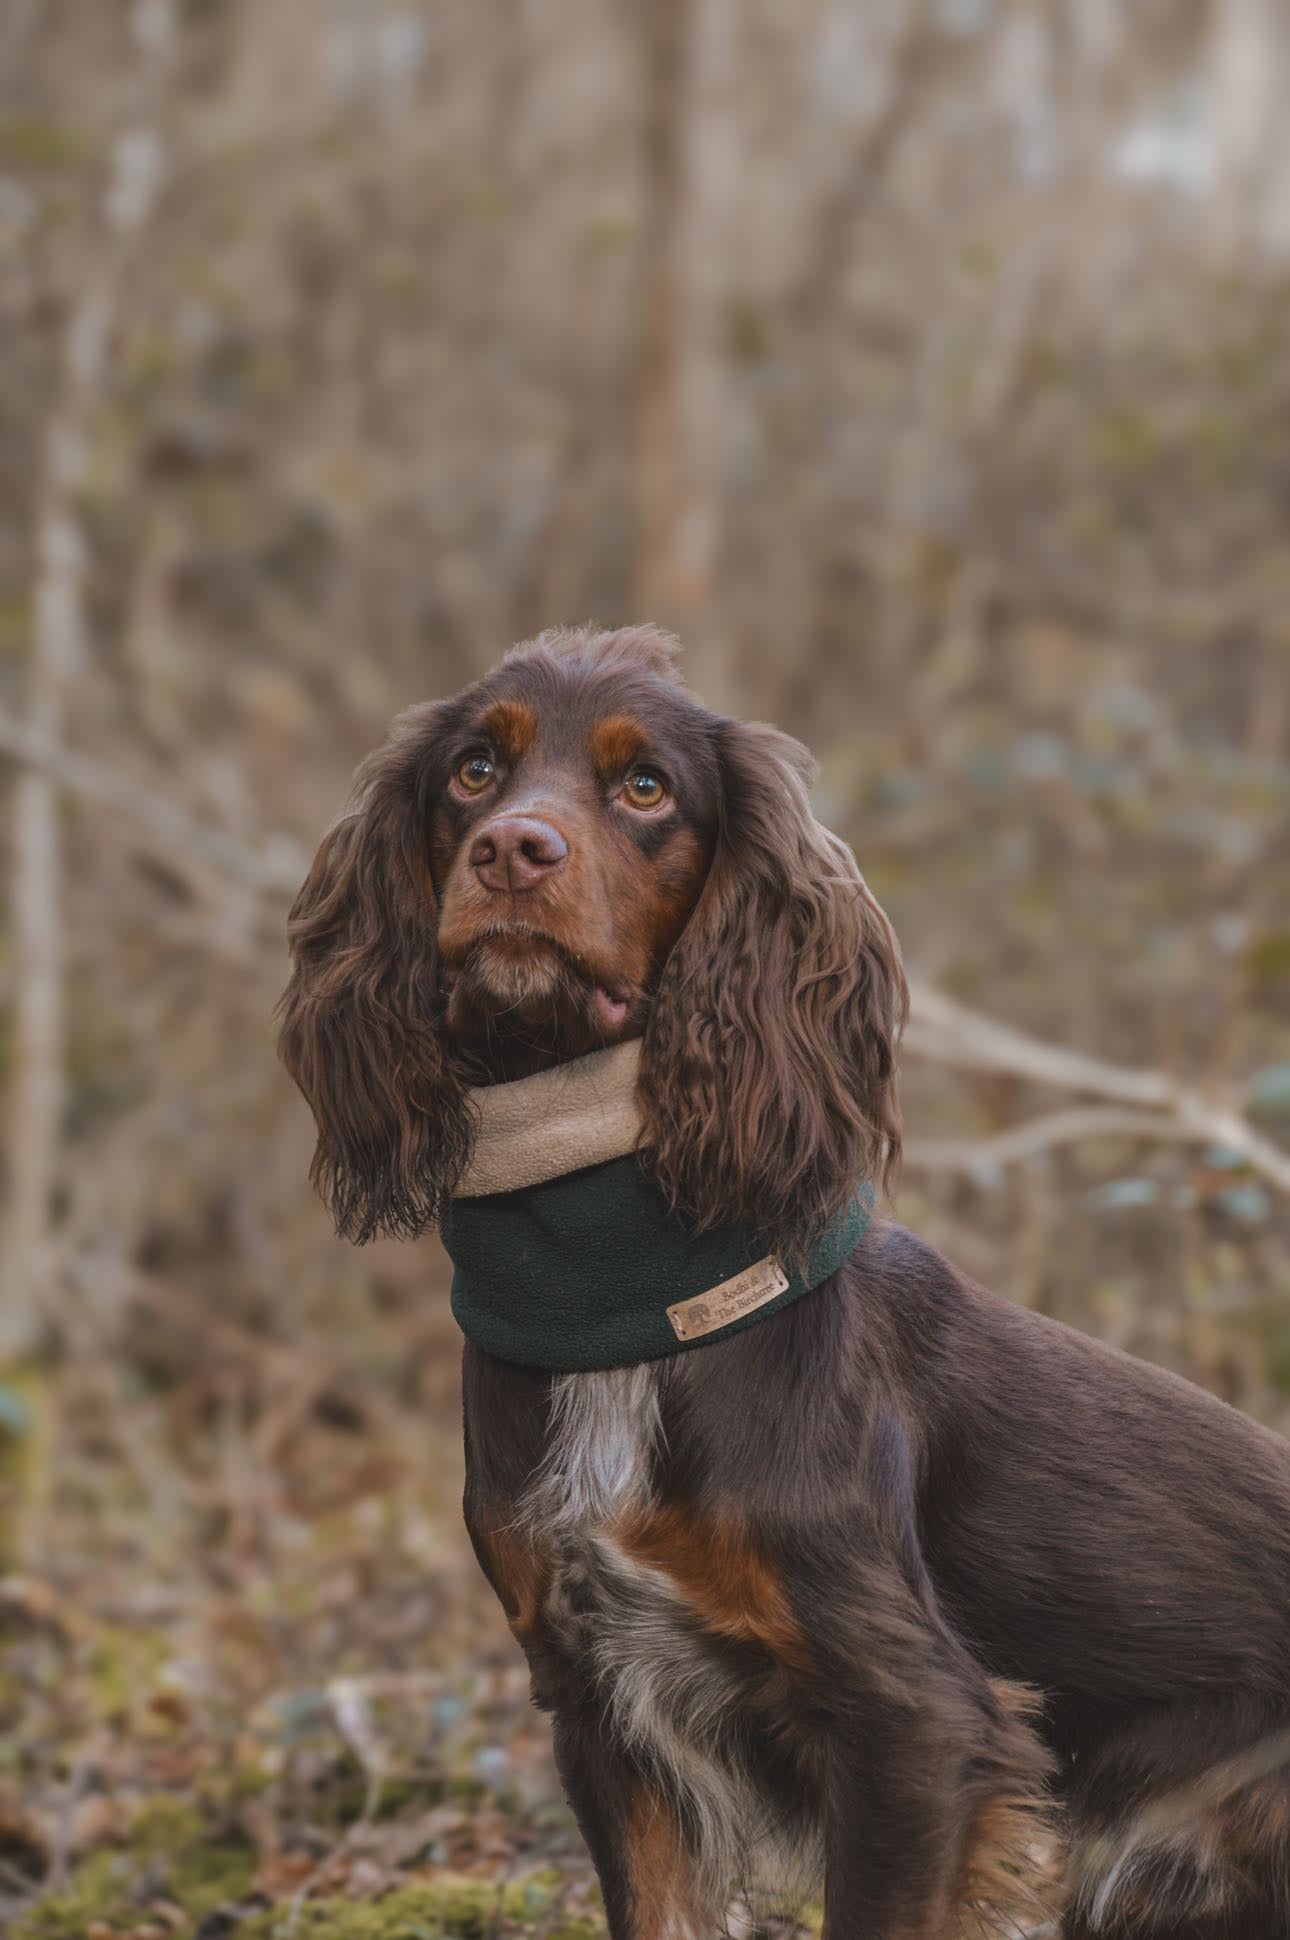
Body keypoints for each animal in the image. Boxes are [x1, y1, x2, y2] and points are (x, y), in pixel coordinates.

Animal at [279, 628, 1288, 1932]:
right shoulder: (595, 1693)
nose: (512, 850)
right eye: (472, 770)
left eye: (645, 786)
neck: (627, 1301)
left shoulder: (911, 1716)